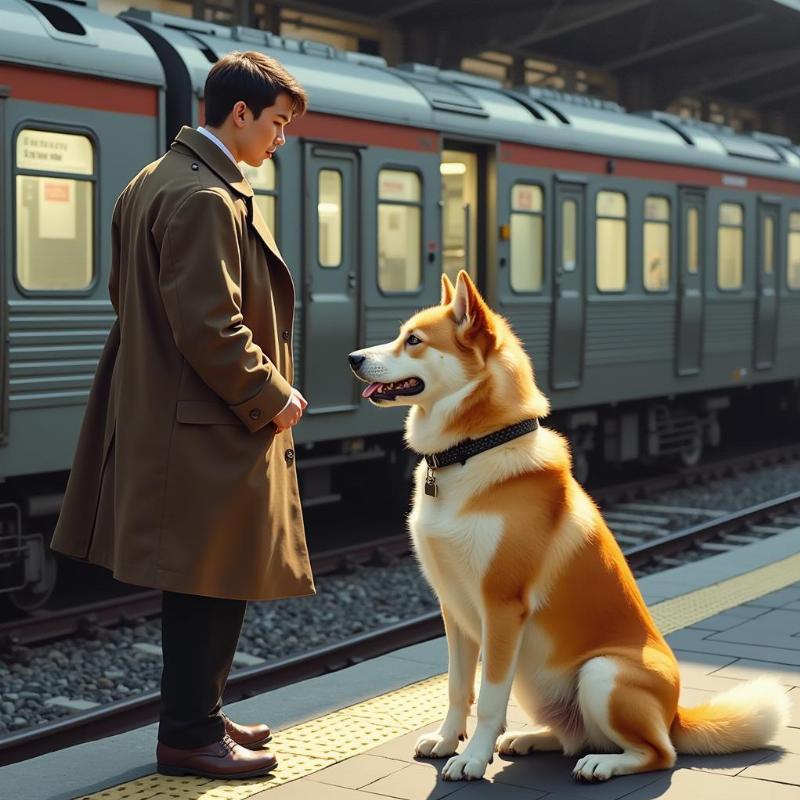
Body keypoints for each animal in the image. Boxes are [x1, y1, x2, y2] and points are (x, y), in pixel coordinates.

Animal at [346, 272, 792, 784]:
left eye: (414, 341)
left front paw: (473, 758)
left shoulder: (502, 607)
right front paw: (445, 740)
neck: (471, 450)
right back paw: (530, 738)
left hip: (602, 674)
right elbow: (459, 688)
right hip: (536, 682)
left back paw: (601, 764)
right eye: (400, 334)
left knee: (656, 753)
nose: (352, 358)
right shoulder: (453, 606)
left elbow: (489, 698)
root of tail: (676, 715)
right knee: (574, 735)